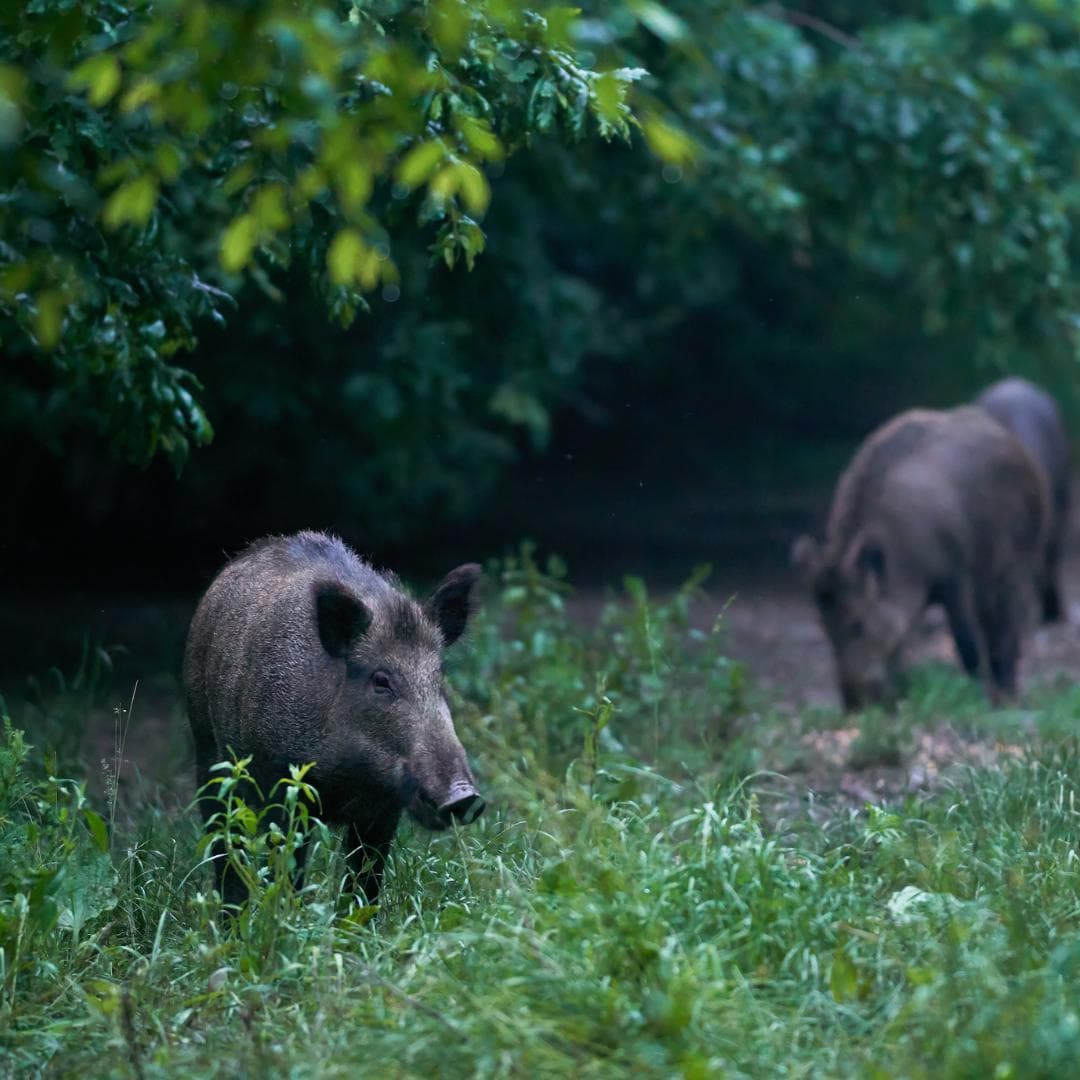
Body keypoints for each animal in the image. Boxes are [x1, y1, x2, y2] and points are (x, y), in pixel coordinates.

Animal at [183, 530, 484, 906]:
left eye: (439, 674)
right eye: (381, 680)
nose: (465, 796)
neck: (349, 777)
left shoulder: (382, 813)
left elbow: (364, 884)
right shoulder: (282, 789)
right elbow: (287, 873)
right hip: (208, 751)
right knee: (224, 846)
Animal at [791, 406, 1048, 709]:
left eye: (858, 624)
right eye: (823, 627)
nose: (853, 706)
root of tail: (1017, 447)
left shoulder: (955, 577)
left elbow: (966, 644)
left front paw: (977, 698)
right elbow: (900, 645)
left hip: (1017, 560)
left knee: (1008, 624)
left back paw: (1007, 697)